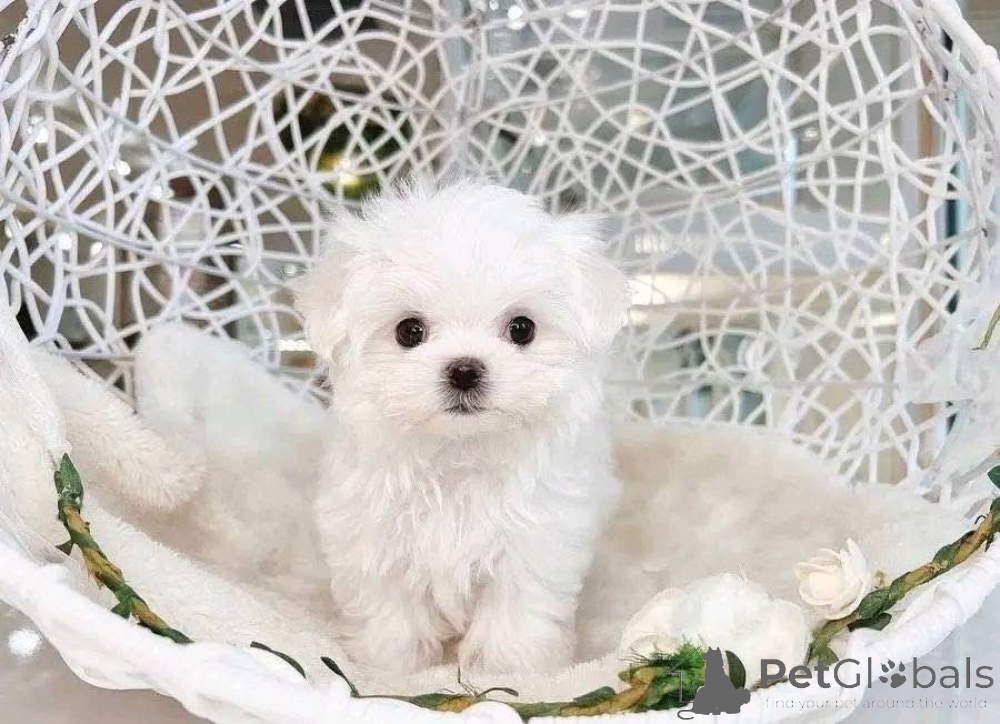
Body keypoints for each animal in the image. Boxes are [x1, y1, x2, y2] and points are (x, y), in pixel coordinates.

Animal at [295, 179, 629, 674]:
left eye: (522, 328)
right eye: (409, 331)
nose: (465, 369)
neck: (458, 453)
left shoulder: (532, 545)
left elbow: (515, 615)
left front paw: (509, 670)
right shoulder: (375, 539)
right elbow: (391, 611)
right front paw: (392, 666)